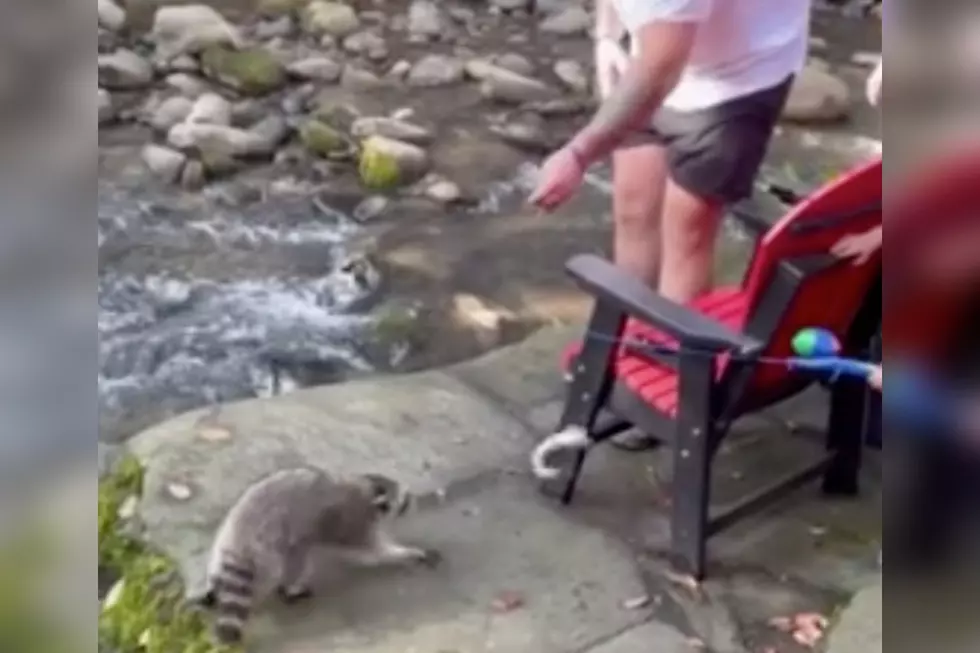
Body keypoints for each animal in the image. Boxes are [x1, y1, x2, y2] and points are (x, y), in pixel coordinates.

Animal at [203, 466, 440, 644]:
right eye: (405, 499)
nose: (414, 502)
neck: (366, 489)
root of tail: (242, 540)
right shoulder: (353, 519)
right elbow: (371, 551)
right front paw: (405, 553)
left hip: (226, 533)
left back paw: (214, 582)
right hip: (269, 552)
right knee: (295, 560)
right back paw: (291, 588)